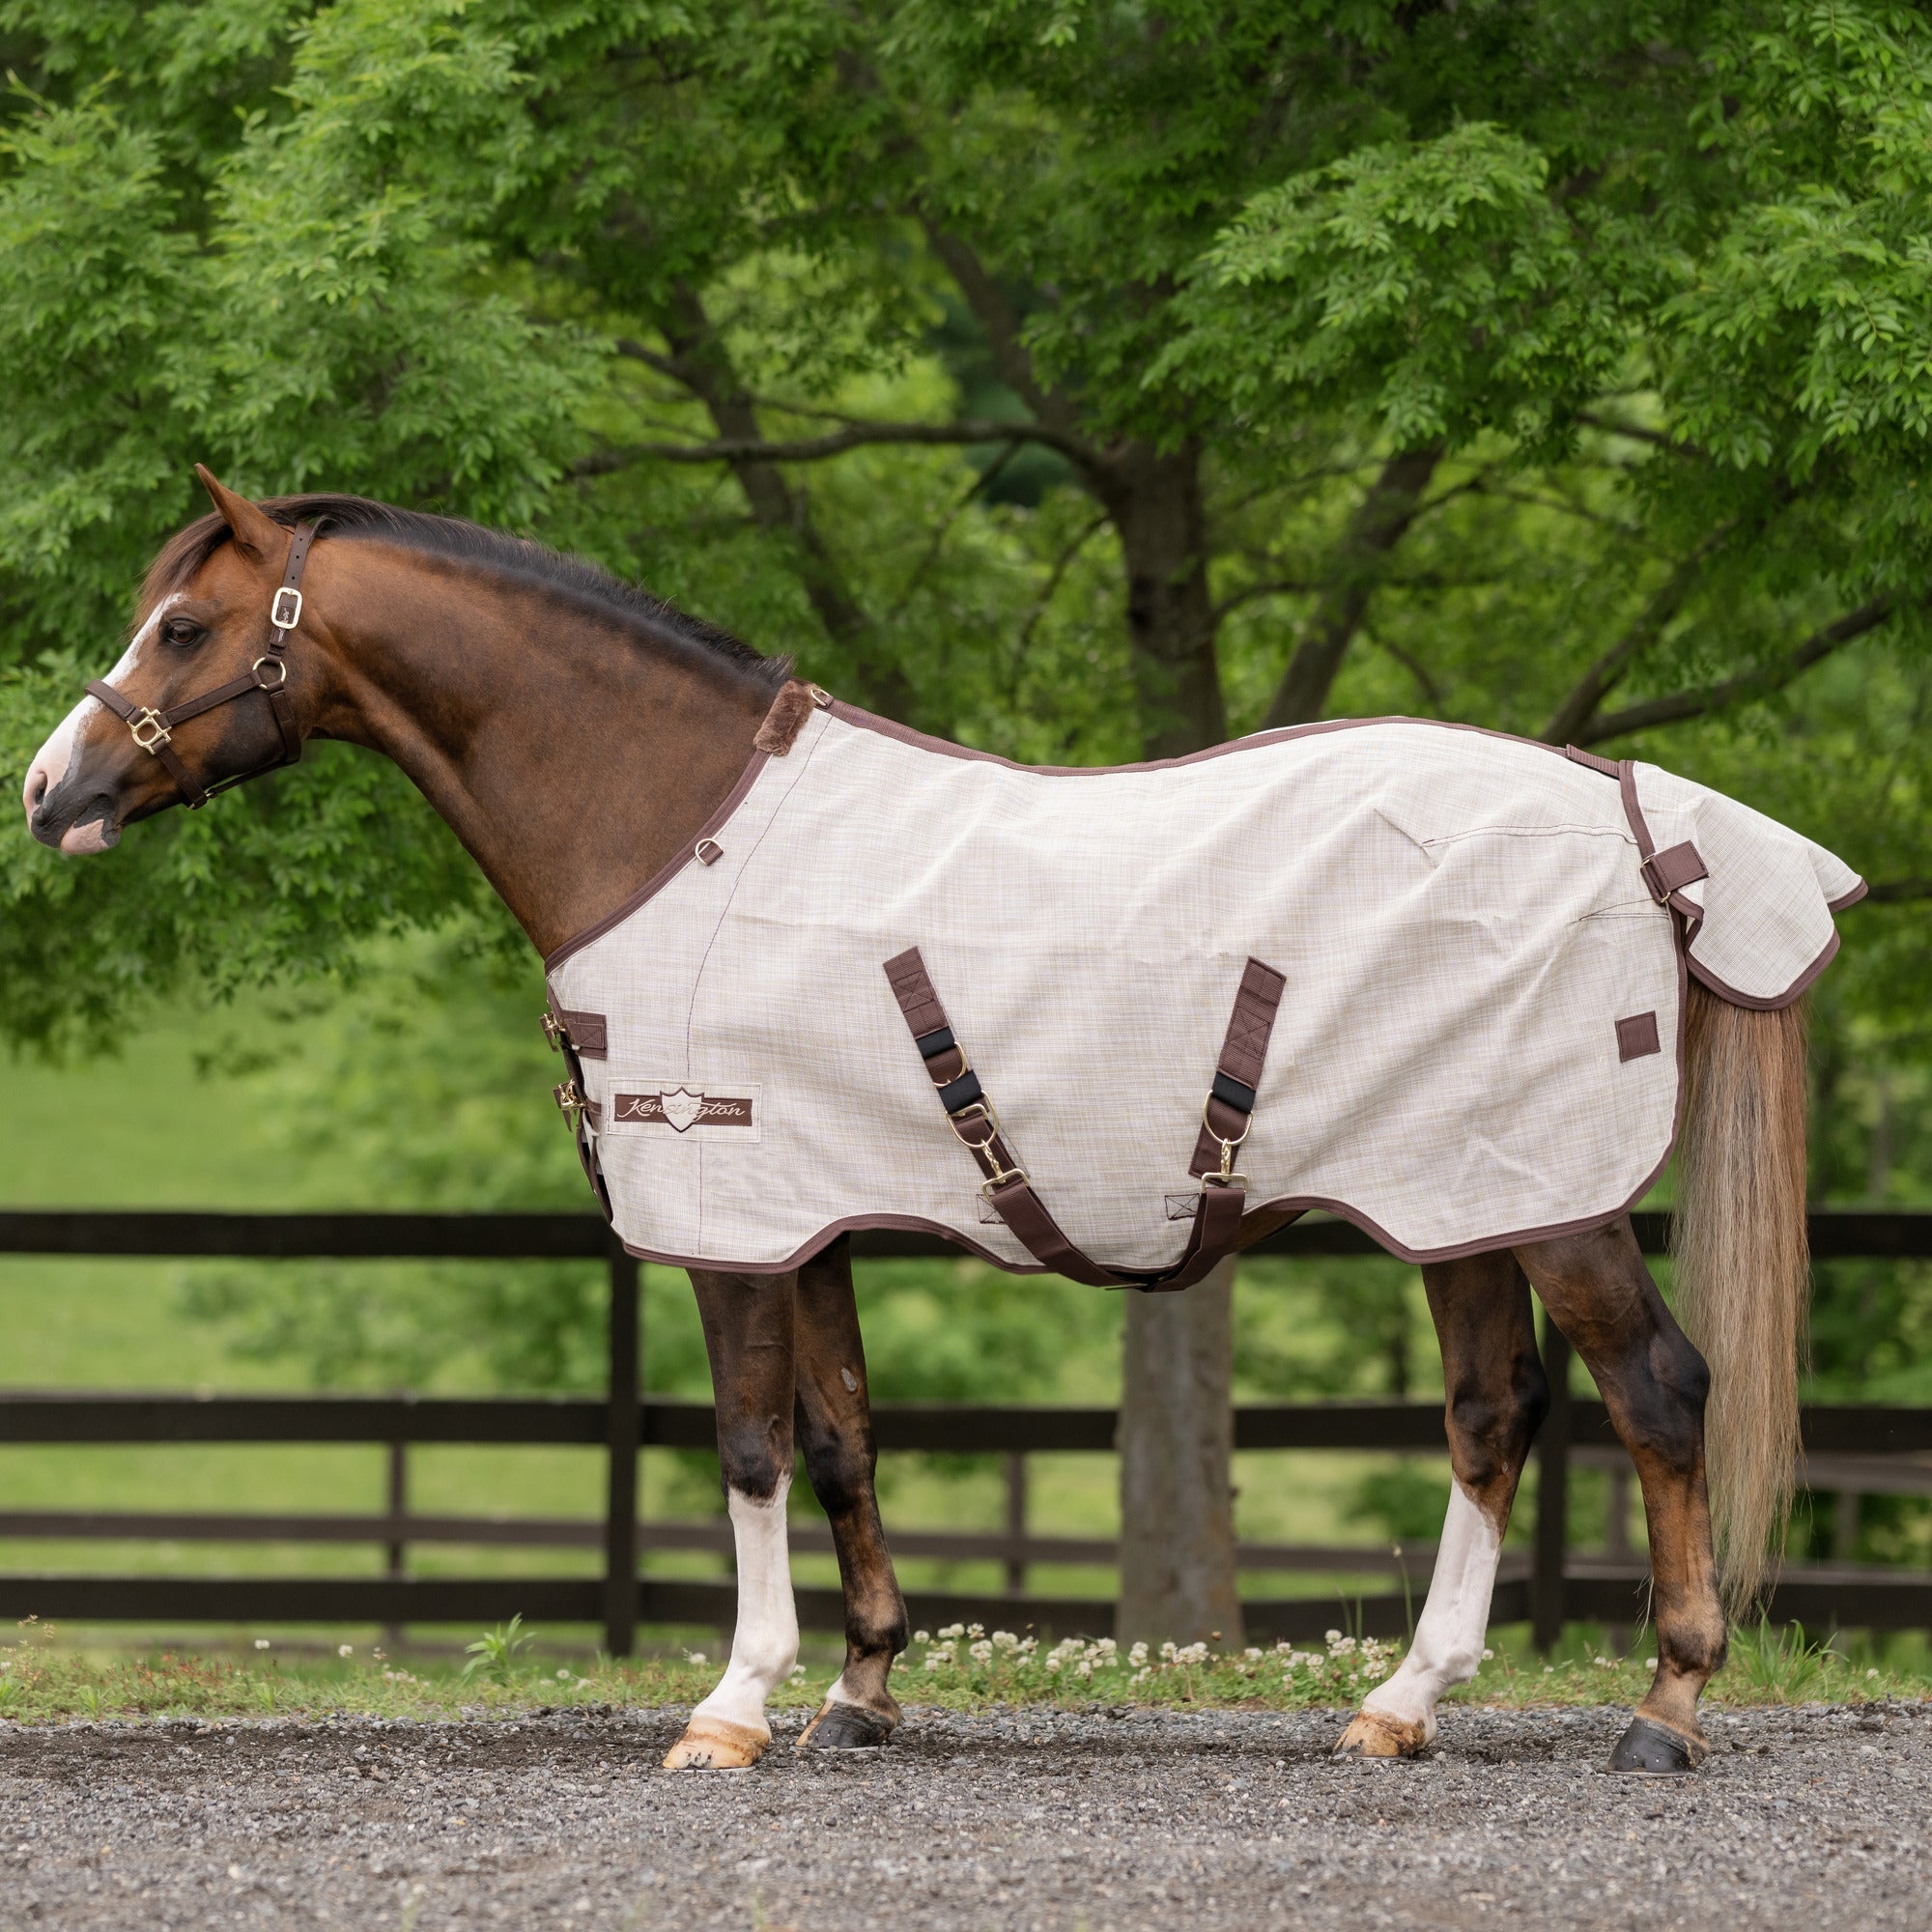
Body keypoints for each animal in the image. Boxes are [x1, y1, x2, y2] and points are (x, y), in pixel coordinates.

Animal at [23, 470, 1848, 1777]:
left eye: (181, 625)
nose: (51, 793)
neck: (669, 822)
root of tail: (1630, 806)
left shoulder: (730, 1219)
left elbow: (748, 1445)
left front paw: (733, 1708)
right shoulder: (811, 1219)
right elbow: (841, 1440)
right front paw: (861, 1695)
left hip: (1554, 1200)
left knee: (1658, 1393)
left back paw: (1666, 1714)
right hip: (1460, 1197)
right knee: (1493, 1414)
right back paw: (1401, 1705)